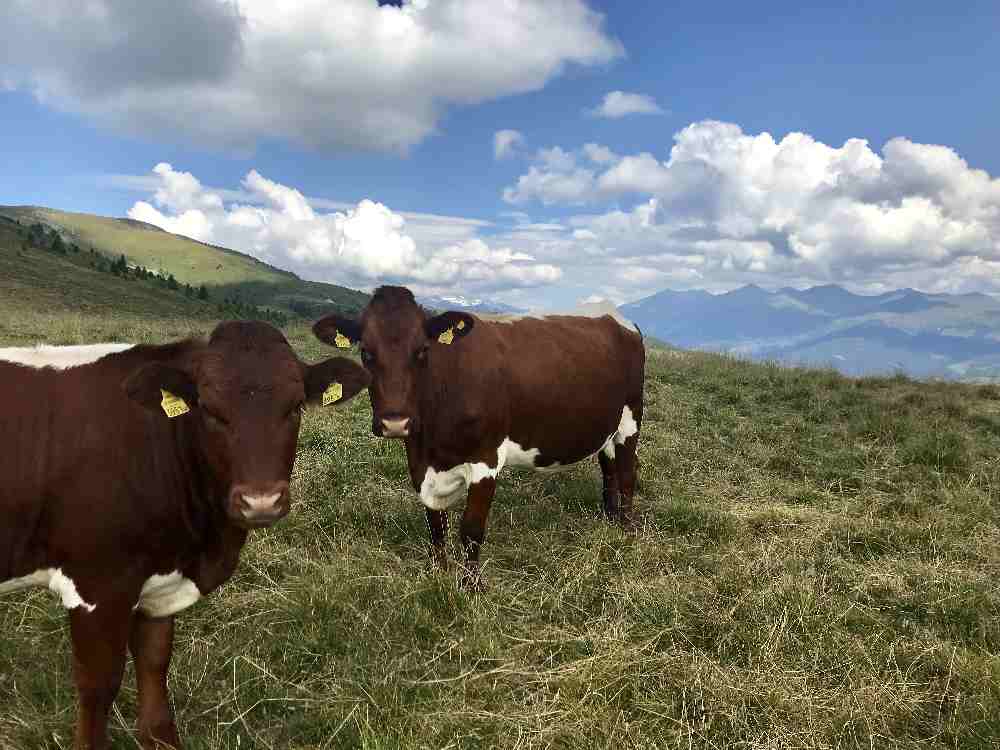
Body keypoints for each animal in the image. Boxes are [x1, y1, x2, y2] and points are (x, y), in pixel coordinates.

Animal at [0, 324, 370, 750]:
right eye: (209, 410)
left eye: (295, 407)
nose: (261, 501)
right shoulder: (96, 585)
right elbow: (99, 685)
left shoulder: (158, 583)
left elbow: (154, 664)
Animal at [314, 288, 648, 588]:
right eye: (366, 352)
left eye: (422, 350)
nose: (395, 423)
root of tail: (613, 313)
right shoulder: (420, 462)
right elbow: (435, 523)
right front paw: (439, 571)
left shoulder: (486, 458)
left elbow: (471, 529)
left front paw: (471, 586)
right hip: (606, 425)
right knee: (608, 470)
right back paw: (609, 518)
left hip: (631, 415)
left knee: (627, 473)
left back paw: (627, 531)